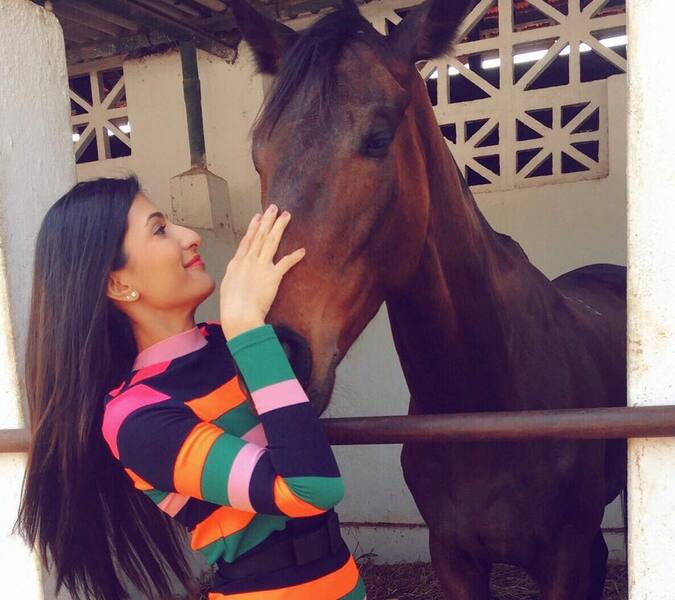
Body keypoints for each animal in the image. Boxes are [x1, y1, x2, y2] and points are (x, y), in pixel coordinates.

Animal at [230, 0, 627, 597]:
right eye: (259, 154)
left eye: (378, 138)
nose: (272, 358)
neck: (487, 402)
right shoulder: (453, 557)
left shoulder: (563, 555)